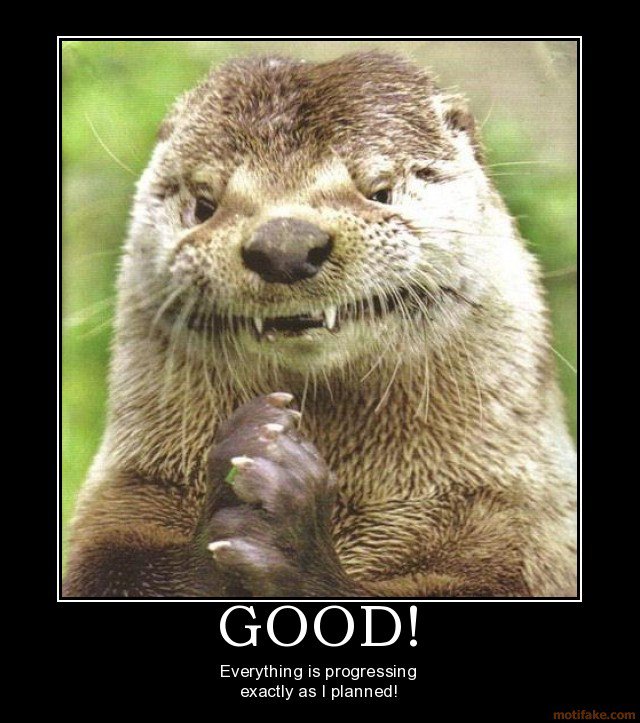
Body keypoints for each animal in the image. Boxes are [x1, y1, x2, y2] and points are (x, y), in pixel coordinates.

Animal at [63, 51, 577, 598]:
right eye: (204, 204)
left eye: (380, 190)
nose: (284, 243)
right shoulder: (128, 496)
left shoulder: (514, 528)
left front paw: (291, 528)